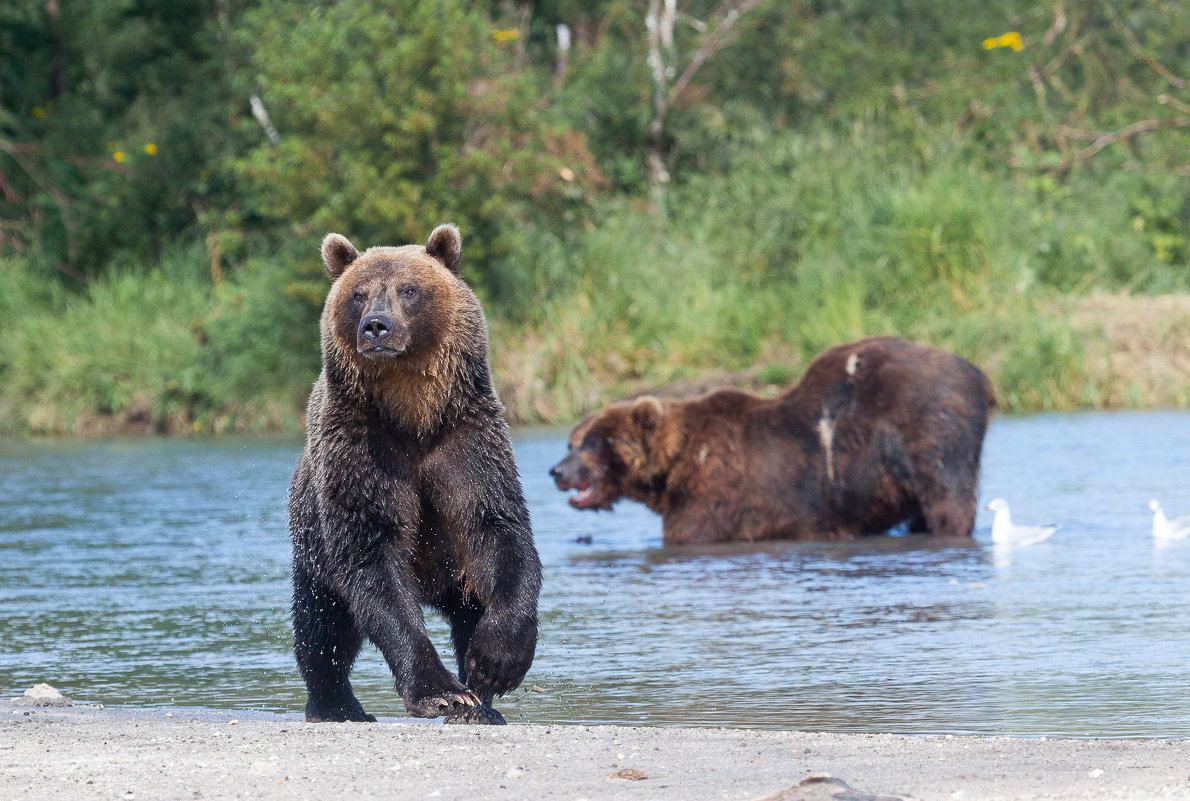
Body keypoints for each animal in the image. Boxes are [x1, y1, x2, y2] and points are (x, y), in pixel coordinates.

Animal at [290, 224, 542, 723]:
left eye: (409, 290)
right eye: (359, 294)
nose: (376, 325)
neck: (413, 414)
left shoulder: (466, 442)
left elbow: (499, 531)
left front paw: (493, 664)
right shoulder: (362, 449)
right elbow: (373, 557)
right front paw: (441, 691)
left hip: (455, 578)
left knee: (468, 609)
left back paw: (481, 705)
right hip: (311, 541)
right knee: (323, 625)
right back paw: (336, 704)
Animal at [547, 333, 994, 547]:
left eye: (591, 442)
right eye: (571, 441)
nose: (556, 471)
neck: (673, 469)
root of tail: (978, 373)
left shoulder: (713, 493)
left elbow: (691, 533)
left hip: (930, 427)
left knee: (946, 497)